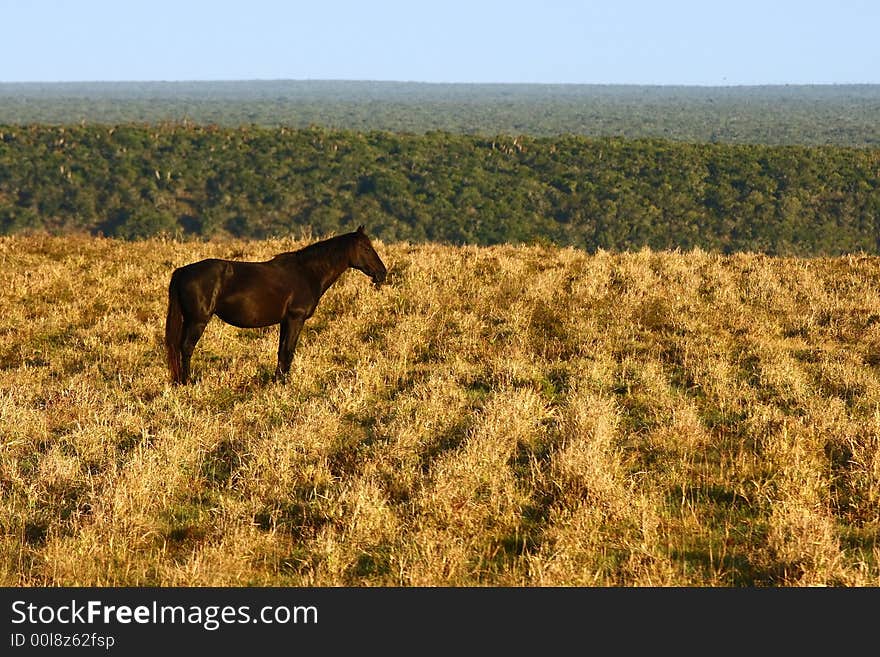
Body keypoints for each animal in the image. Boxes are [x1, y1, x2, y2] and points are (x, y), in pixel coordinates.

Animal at [165, 224, 384, 384]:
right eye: (366, 248)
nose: (382, 273)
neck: (306, 273)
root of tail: (182, 271)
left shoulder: (285, 321)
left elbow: (281, 351)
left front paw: (277, 380)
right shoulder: (296, 319)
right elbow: (289, 351)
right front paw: (285, 383)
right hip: (197, 321)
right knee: (186, 347)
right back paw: (187, 381)